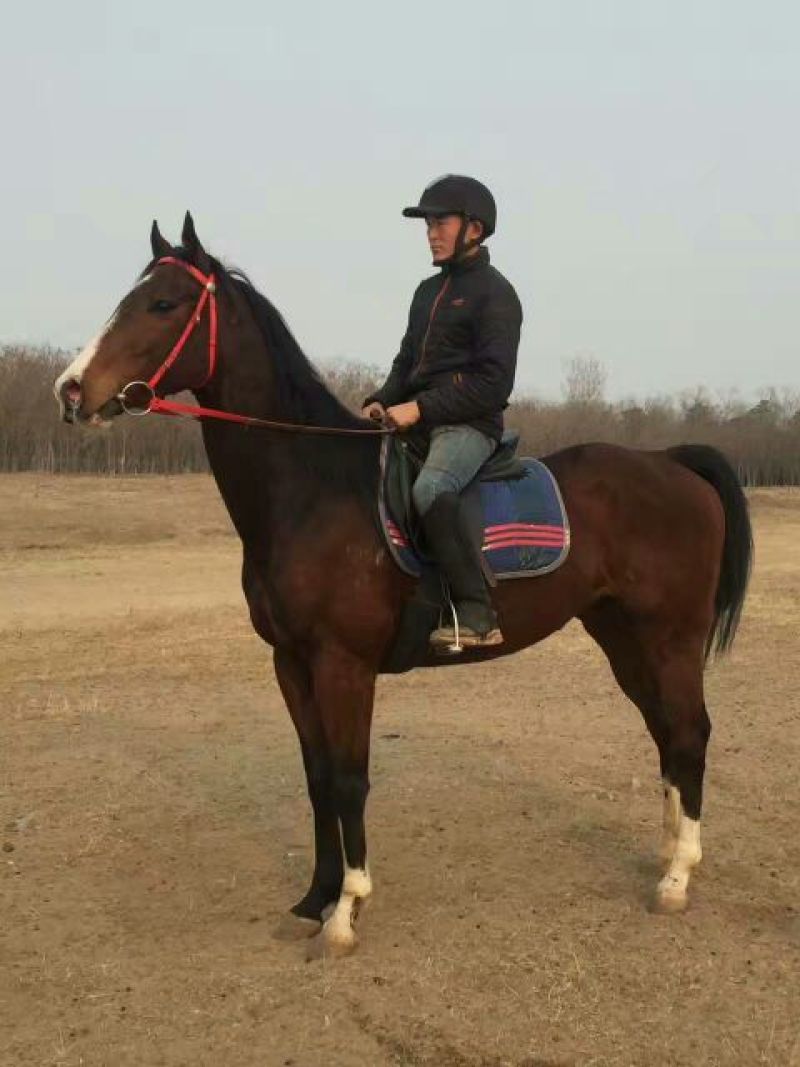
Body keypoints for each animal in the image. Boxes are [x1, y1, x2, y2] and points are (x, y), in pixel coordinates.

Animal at [54, 213, 752, 957]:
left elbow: (348, 778)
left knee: (690, 732)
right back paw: (668, 854)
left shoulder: (343, 664)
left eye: (163, 304)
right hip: (623, 636)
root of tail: (671, 463)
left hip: (669, 637)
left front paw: (345, 910)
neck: (312, 490)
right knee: (667, 734)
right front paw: (315, 896)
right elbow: (316, 779)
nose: (70, 390)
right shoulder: (291, 662)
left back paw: (677, 877)